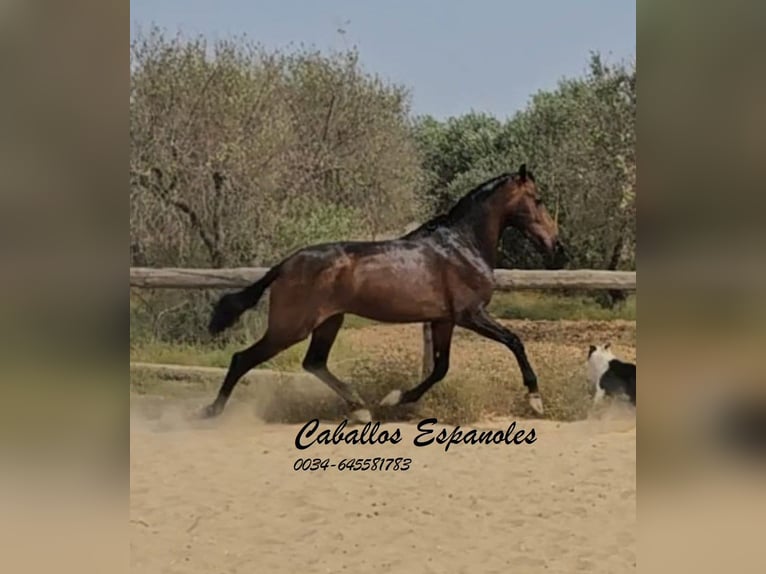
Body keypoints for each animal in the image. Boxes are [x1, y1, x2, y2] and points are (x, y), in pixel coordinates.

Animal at [202, 164, 568, 422]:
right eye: (538, 200)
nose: (557, 247)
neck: (462, 245)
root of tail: (287, 263)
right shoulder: (471, 314)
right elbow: (514, 341)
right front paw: (535, 400)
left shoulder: (444, 320)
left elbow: (440, 368)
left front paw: (394, 399)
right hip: (290, 327)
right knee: (242, 359)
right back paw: (211, 411)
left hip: (329, 322)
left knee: (314, 362)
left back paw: (361, 409)